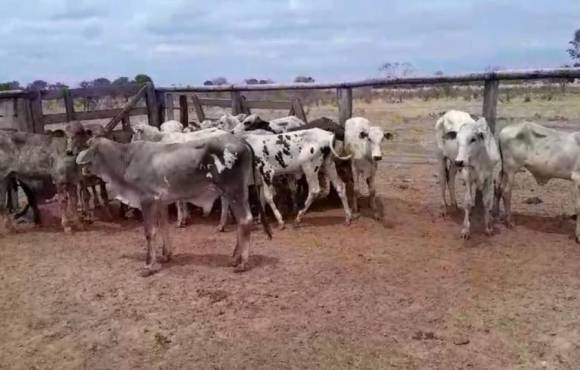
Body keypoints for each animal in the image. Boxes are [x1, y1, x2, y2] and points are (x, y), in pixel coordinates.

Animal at [76, 134, 272, 276]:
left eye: (88, 146)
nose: (80, 166)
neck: (126, 161)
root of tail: (240, 140)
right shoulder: (161, 202)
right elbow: (164, 228)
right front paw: (166, 255)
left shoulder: (147, 200)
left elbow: (150, 232)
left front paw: (148, 266)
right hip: (236, 194)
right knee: (240, 222)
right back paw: (235, 257)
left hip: (234, 192)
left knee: (245, 220)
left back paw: (243, 263)